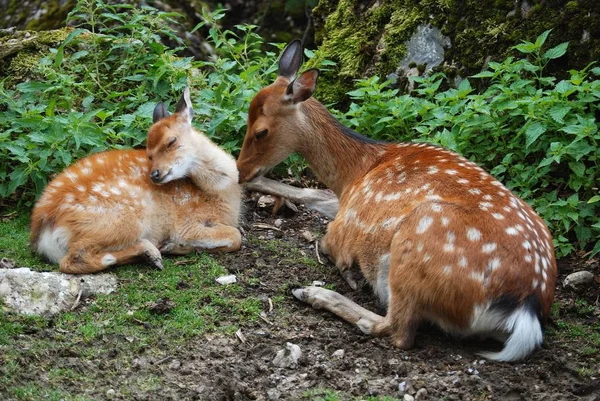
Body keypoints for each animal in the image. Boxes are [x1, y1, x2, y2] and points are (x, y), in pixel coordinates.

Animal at [30, 88, 241, 274]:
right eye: (149, 153)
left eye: (171, 141)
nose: (155, 174)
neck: (220, 192)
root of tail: (43, 226)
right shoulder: (185, 222)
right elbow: (236, 236)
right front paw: (175, 245)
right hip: (121, 217)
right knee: (72, 260)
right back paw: (152, 253)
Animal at [238, 39, 556, 360]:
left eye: (261, 131)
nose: (241, 170)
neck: (358, 170)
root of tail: (526, 306)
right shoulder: (344, 203)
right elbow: (311, 193)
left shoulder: (346, 224)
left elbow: (325, 240)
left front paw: (345, 268)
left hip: (413, 244)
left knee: (396, 329)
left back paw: (314, 293)